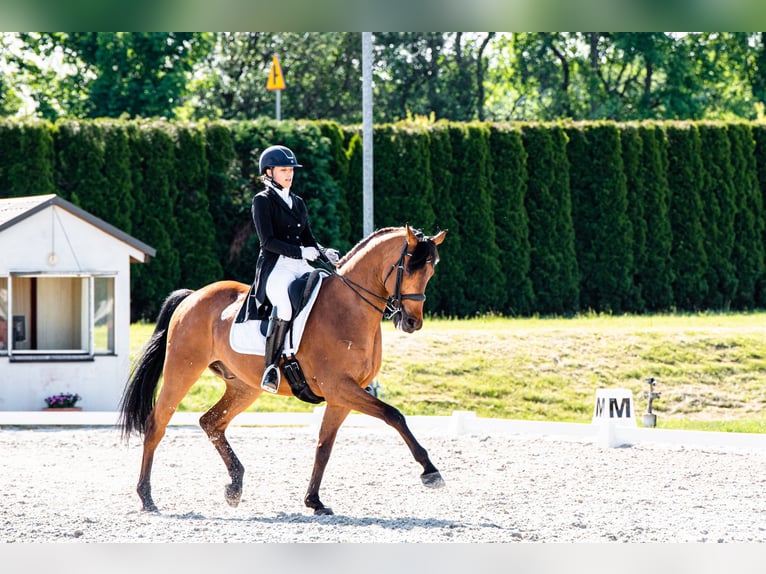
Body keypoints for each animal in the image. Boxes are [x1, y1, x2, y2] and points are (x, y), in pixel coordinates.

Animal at [117, 225, 448, 516]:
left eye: (431, 272)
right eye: (409, 269)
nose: (412, 322)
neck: (350, 307)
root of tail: (193, 295)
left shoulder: (341, 396)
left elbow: (323, 446)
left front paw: (314, 501)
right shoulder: (340, 387)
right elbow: (394, 415)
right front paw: (430, 471)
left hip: (244, 386)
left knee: (211, 422)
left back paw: (235, 486)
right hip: (182, 370)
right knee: (156, 424)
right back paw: (147, 498)